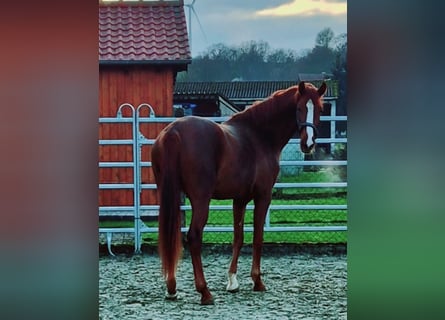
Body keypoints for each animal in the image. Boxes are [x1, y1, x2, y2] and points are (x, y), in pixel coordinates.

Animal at [151, 80, 324, 304]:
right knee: (194, 236)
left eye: (319, 109)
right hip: (200, 199)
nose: (308, 144)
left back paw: (172, 288)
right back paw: (204, 292)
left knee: (169, 235)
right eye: (300, 108)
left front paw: (232, 281)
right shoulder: (263, 196)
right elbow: (258, 237)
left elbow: (238, 237)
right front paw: (257, 281)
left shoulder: (239, 199)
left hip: (168, 195)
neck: (258, 136)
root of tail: (173, 131)